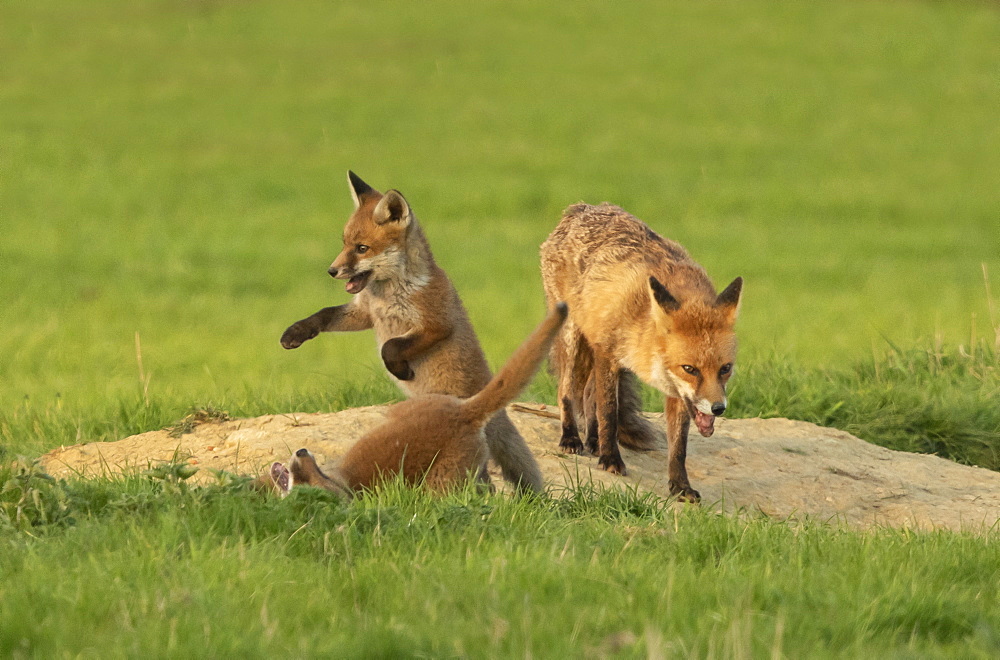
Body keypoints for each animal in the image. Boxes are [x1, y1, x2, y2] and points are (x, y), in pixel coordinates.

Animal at [264, 304, 564, 496]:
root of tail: (465, 412)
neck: (347, 484)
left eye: (313, 480)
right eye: (313, 472)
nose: (302, 453)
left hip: (443, 482)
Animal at [282, 173, 544, 492]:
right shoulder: (365, 313)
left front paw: (401, 371)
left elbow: (390, 347)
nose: (332, 271)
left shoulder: (436, 323)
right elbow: (323, 315)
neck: (390, 292)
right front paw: (295, 333)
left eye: (362, 248)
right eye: (344, 244)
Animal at [540, 201, 744, 500]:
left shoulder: (676, 392)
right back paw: (572, 437)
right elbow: (609, 412)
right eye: (690, 369)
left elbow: (678, 446)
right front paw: (611, 459)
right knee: (567, 392)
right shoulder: (608, 354)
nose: (718, 408)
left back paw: (593, 440)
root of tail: (582, 207)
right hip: (573, 336)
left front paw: (680, 486)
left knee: (588, 396)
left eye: (725, 369)